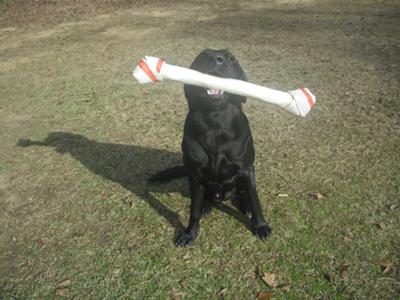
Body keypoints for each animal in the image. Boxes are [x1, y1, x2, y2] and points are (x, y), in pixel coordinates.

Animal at [151, 49, 272, 246]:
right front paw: (189, 233)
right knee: (205, 199)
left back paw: (244, 205)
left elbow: (255, 200)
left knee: (244, 193)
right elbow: (193, 210)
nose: (217, 60)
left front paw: (260, 225)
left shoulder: (247, 170)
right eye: (202, 55)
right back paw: (206, 206)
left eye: (231, 58)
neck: (215, 124)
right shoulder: (195, 176)